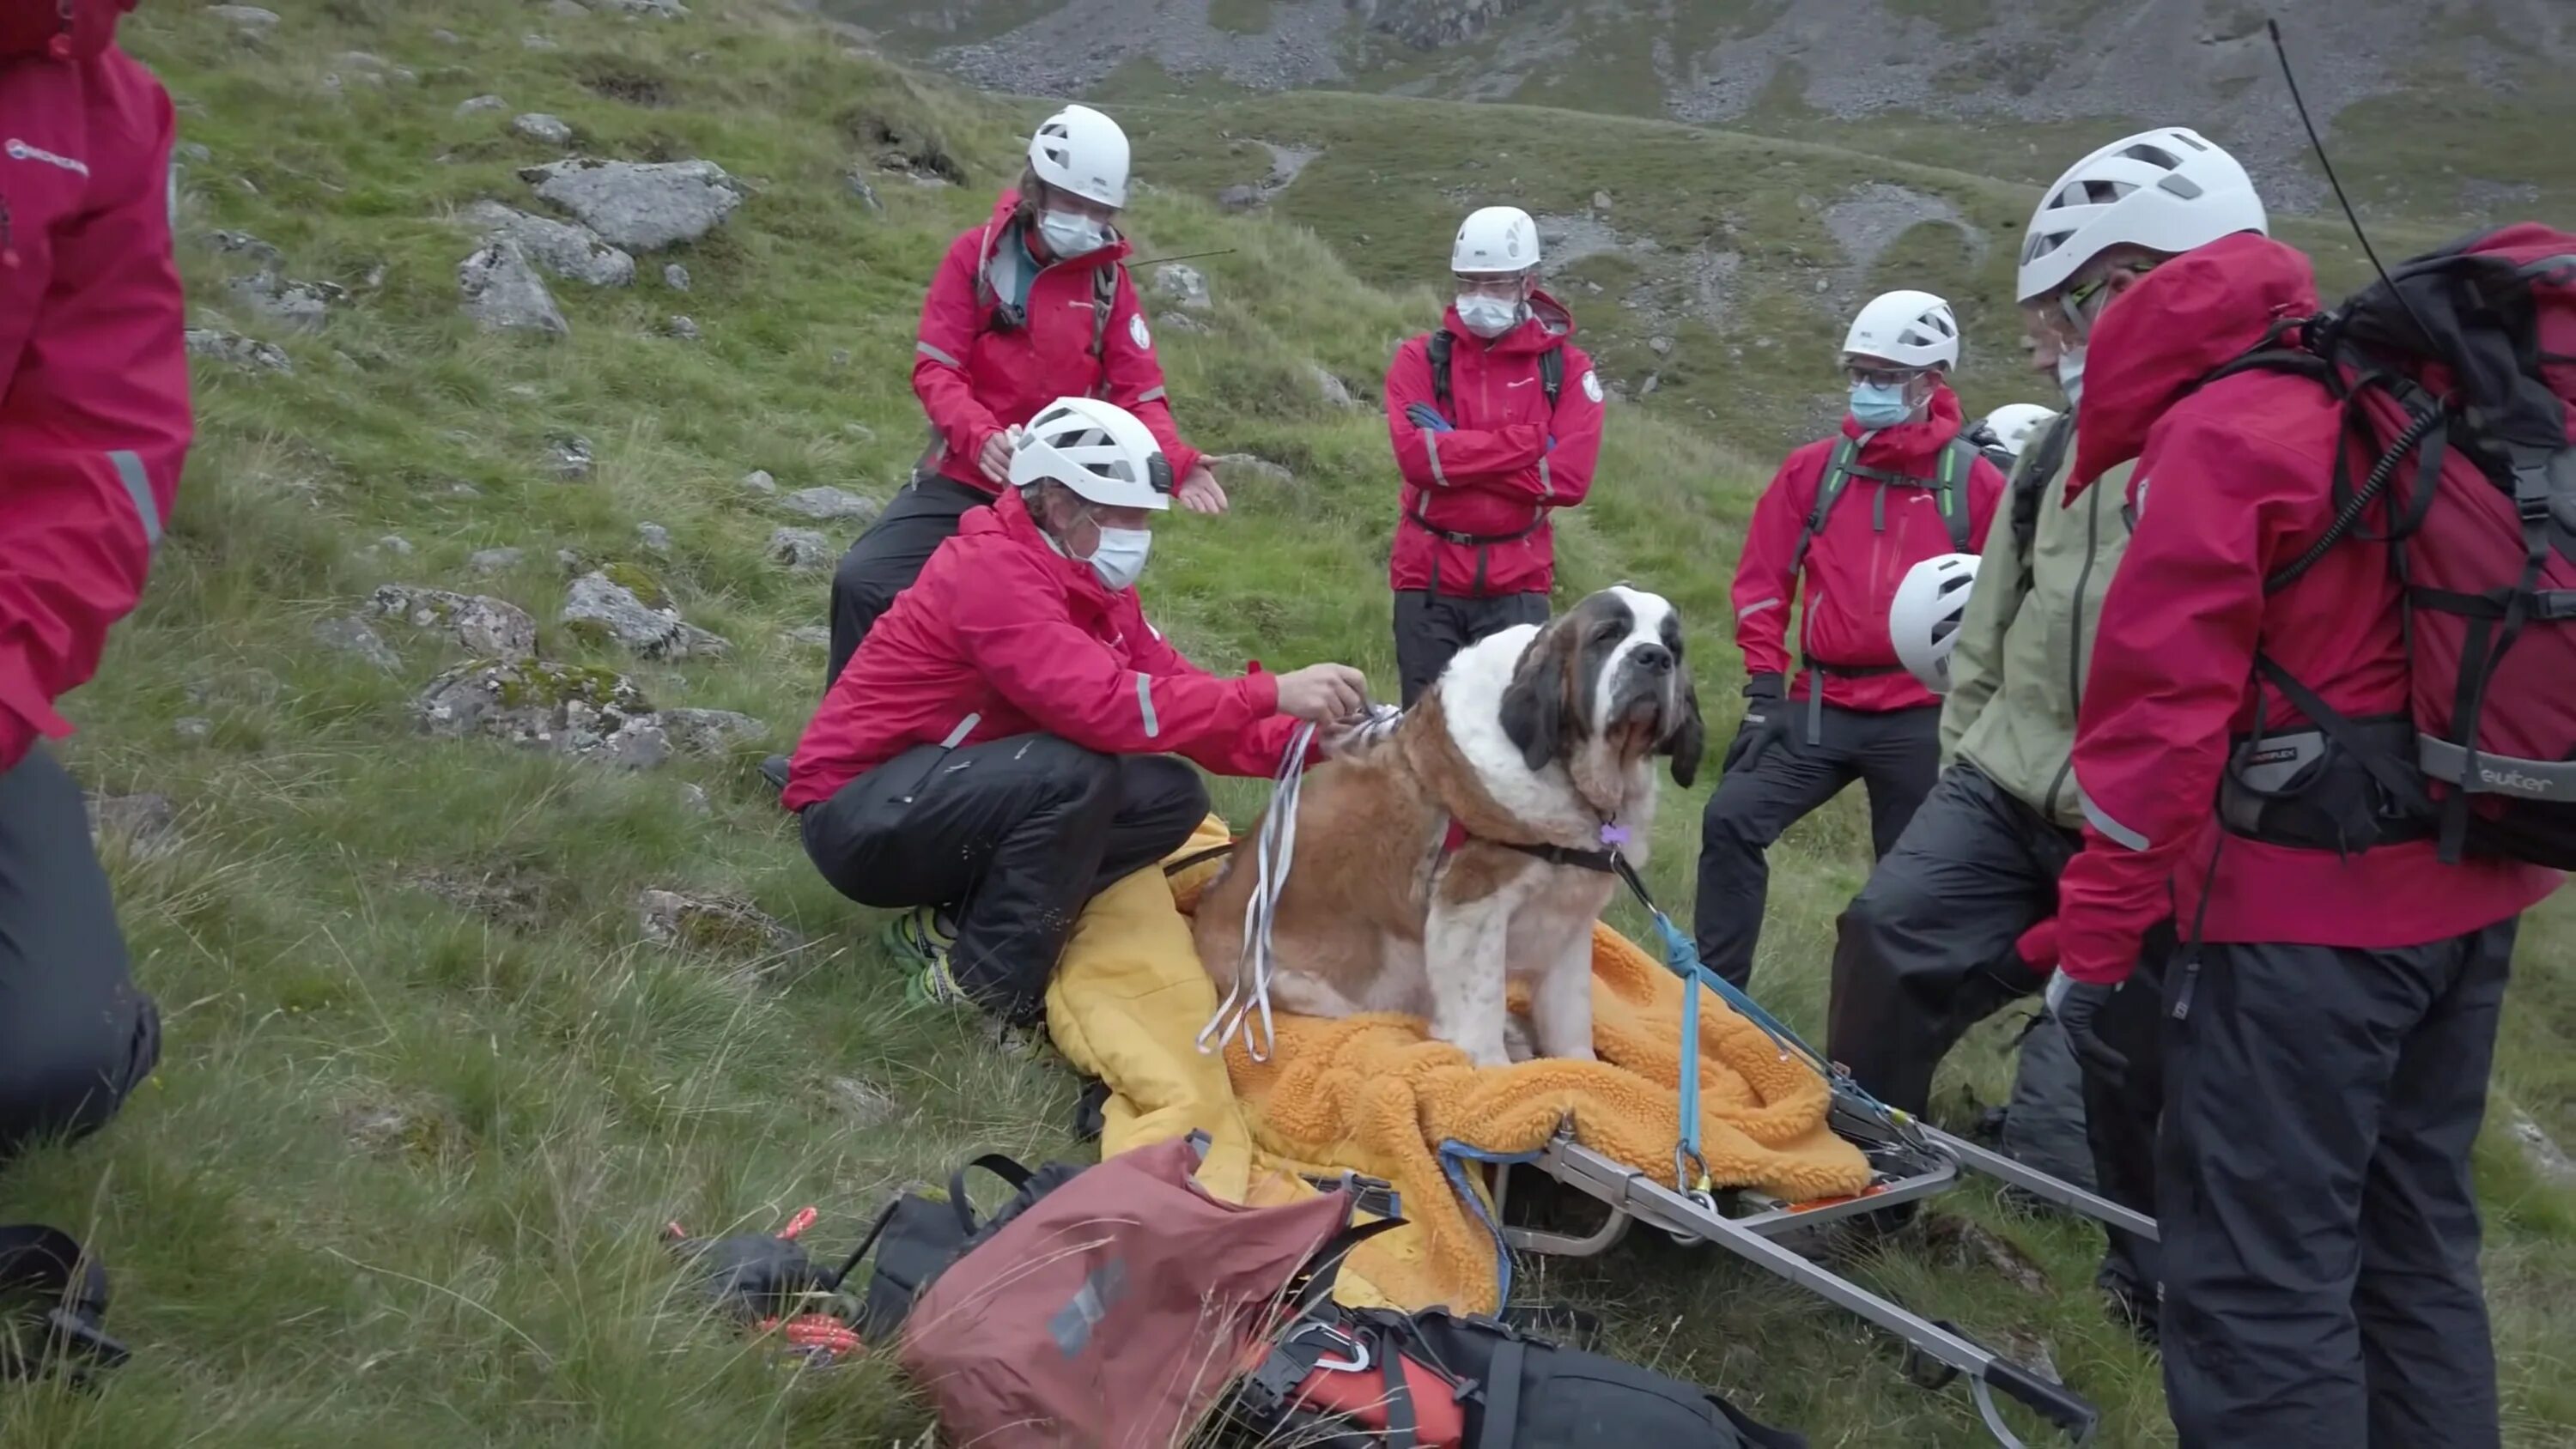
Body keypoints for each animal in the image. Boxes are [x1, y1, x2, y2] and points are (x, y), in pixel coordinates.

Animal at [1190, 584, 1710, 1070]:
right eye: (1608, 636)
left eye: (1673, 645)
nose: (1654, 657)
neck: (1574, 775)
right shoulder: (1475, 903)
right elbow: (1481, 1003)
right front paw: (1495, 1071)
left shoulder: (1569, 917)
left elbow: (1570, 1012)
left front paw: (1580, 1070)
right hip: (1300, 985)